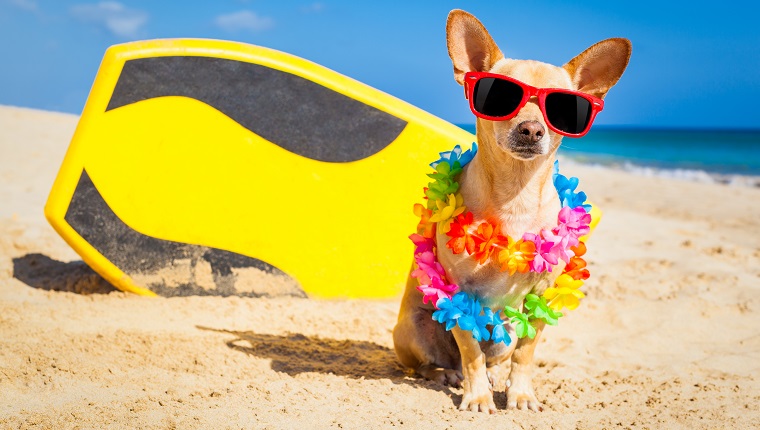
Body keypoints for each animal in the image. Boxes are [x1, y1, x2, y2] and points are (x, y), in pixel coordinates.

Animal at [392, 9, 628, 414]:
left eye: (563, 108)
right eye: (501, 95)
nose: (531, 129)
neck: (516, 194)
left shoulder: (541, 300)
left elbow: (525, 354)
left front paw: (520, 394)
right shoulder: (459, 296)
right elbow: (470, 350)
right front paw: (477, 398)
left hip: (504, 333)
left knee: (497, 357)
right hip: (415, 327)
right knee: (435, 363)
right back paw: (446, 374)